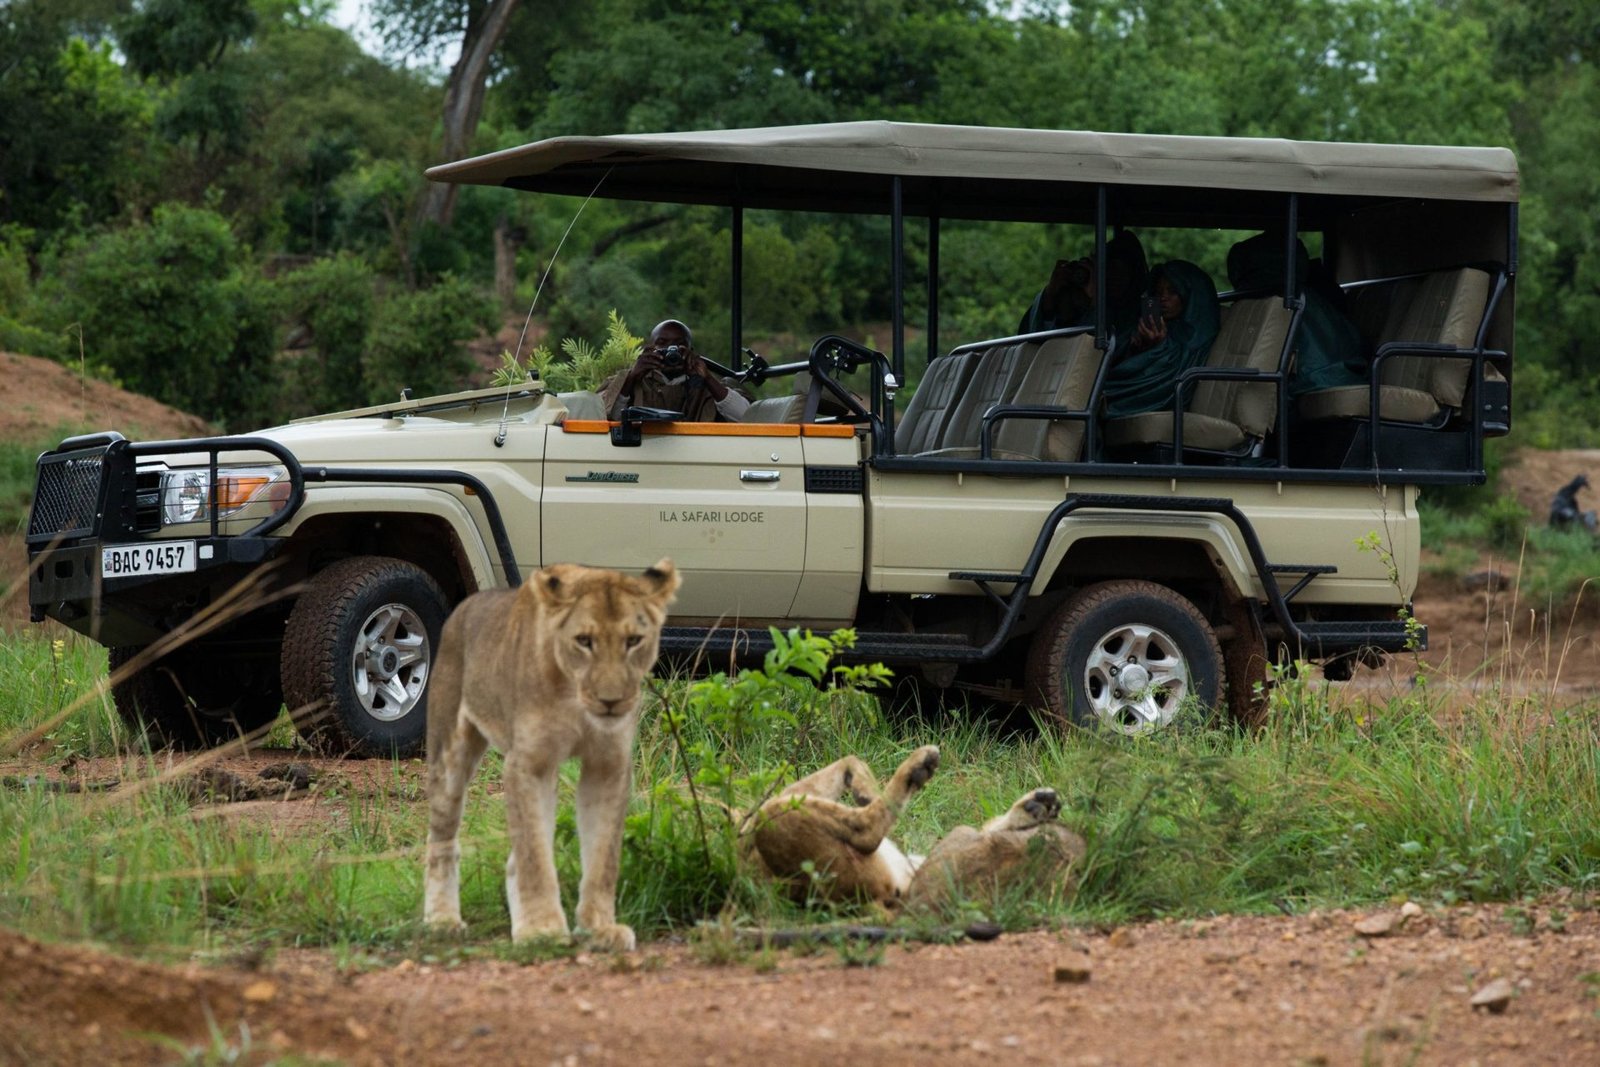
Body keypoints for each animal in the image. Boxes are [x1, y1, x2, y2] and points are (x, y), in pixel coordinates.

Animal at [423, 559, 679, 951]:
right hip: (449, 752)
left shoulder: (608, 764)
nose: (610, 701)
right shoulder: (528, 764)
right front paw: (541, 929)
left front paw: (598, 928)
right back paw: (441, 921)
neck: (574, 698)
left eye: (633, 641)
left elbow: (603, 856)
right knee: (441, 840)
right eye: (584, 641)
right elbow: (534, 854)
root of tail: (464, 606)